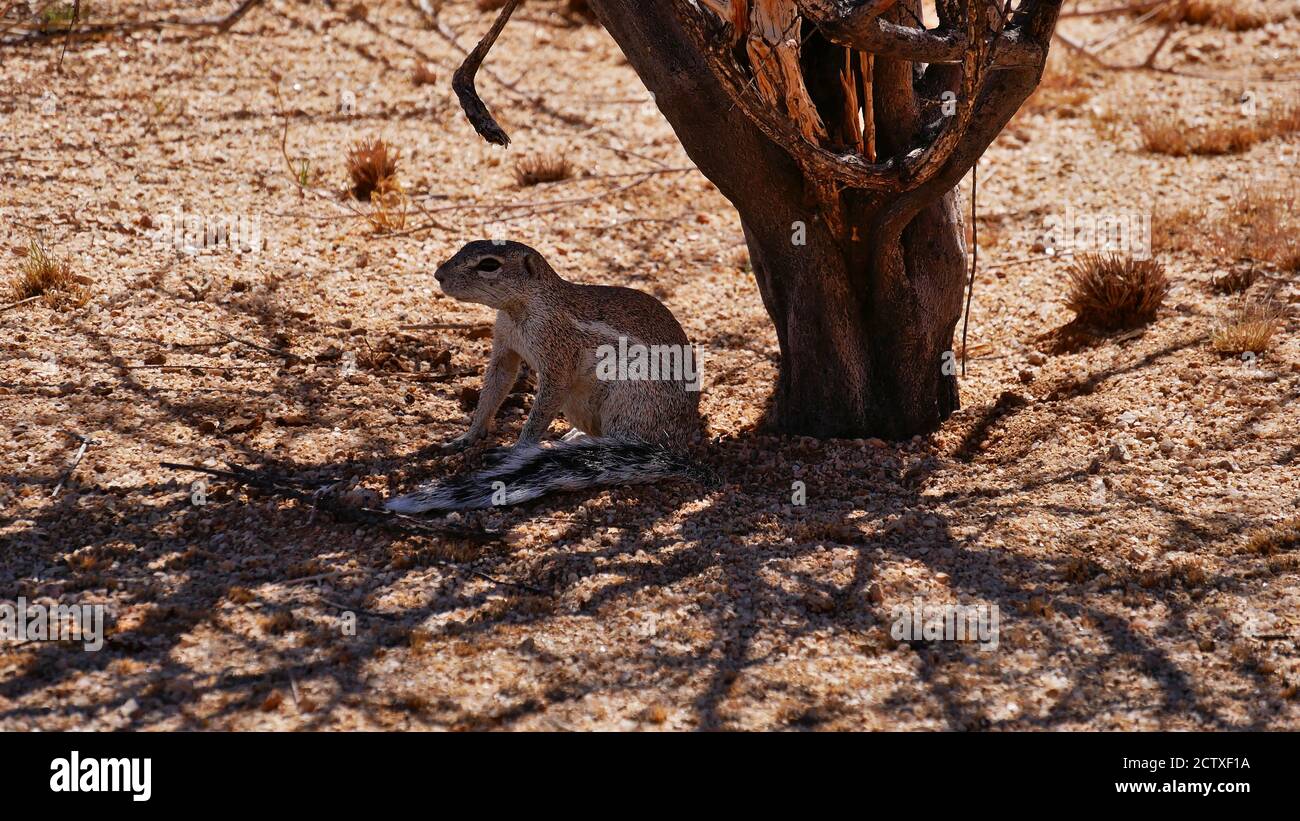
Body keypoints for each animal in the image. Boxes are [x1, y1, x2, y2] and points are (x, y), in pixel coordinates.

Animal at [382, 235, 707, 514]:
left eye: (489, 265)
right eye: (465, 246)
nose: (439, 274)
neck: (522, 308)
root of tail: (676, 446)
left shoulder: (557, 358)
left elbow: (540, 412)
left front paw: (515, 451)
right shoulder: (504, 347)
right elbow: (493, 390)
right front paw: (468, 436)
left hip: (629, 399)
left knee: (621, 443)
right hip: (579, 405)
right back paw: (573, 437)